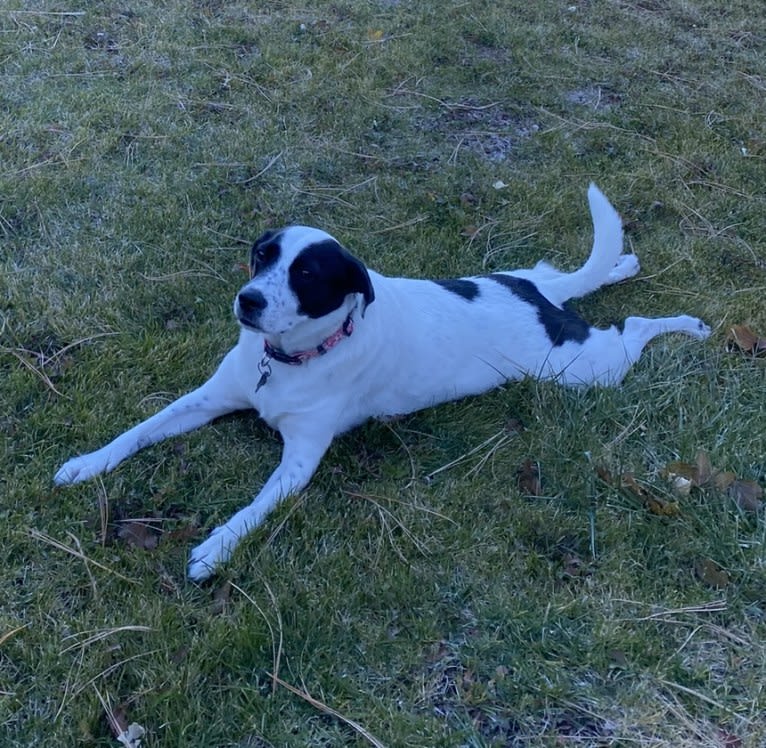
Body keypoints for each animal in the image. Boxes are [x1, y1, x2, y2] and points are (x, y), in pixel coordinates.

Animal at [55, 184, 712, 580]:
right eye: (262, 256)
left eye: (307, 274)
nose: (247, 300)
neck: (290, 360)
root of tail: (535, 300)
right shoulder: (208, 399)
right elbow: (137, 431)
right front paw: (87, 464)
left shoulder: (299, 461)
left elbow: (253, 508)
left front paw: (216, 548)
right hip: (543, 288)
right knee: (578, 277)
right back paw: (622, 263)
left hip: (588, 369)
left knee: (633, 328)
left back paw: (690, 325)